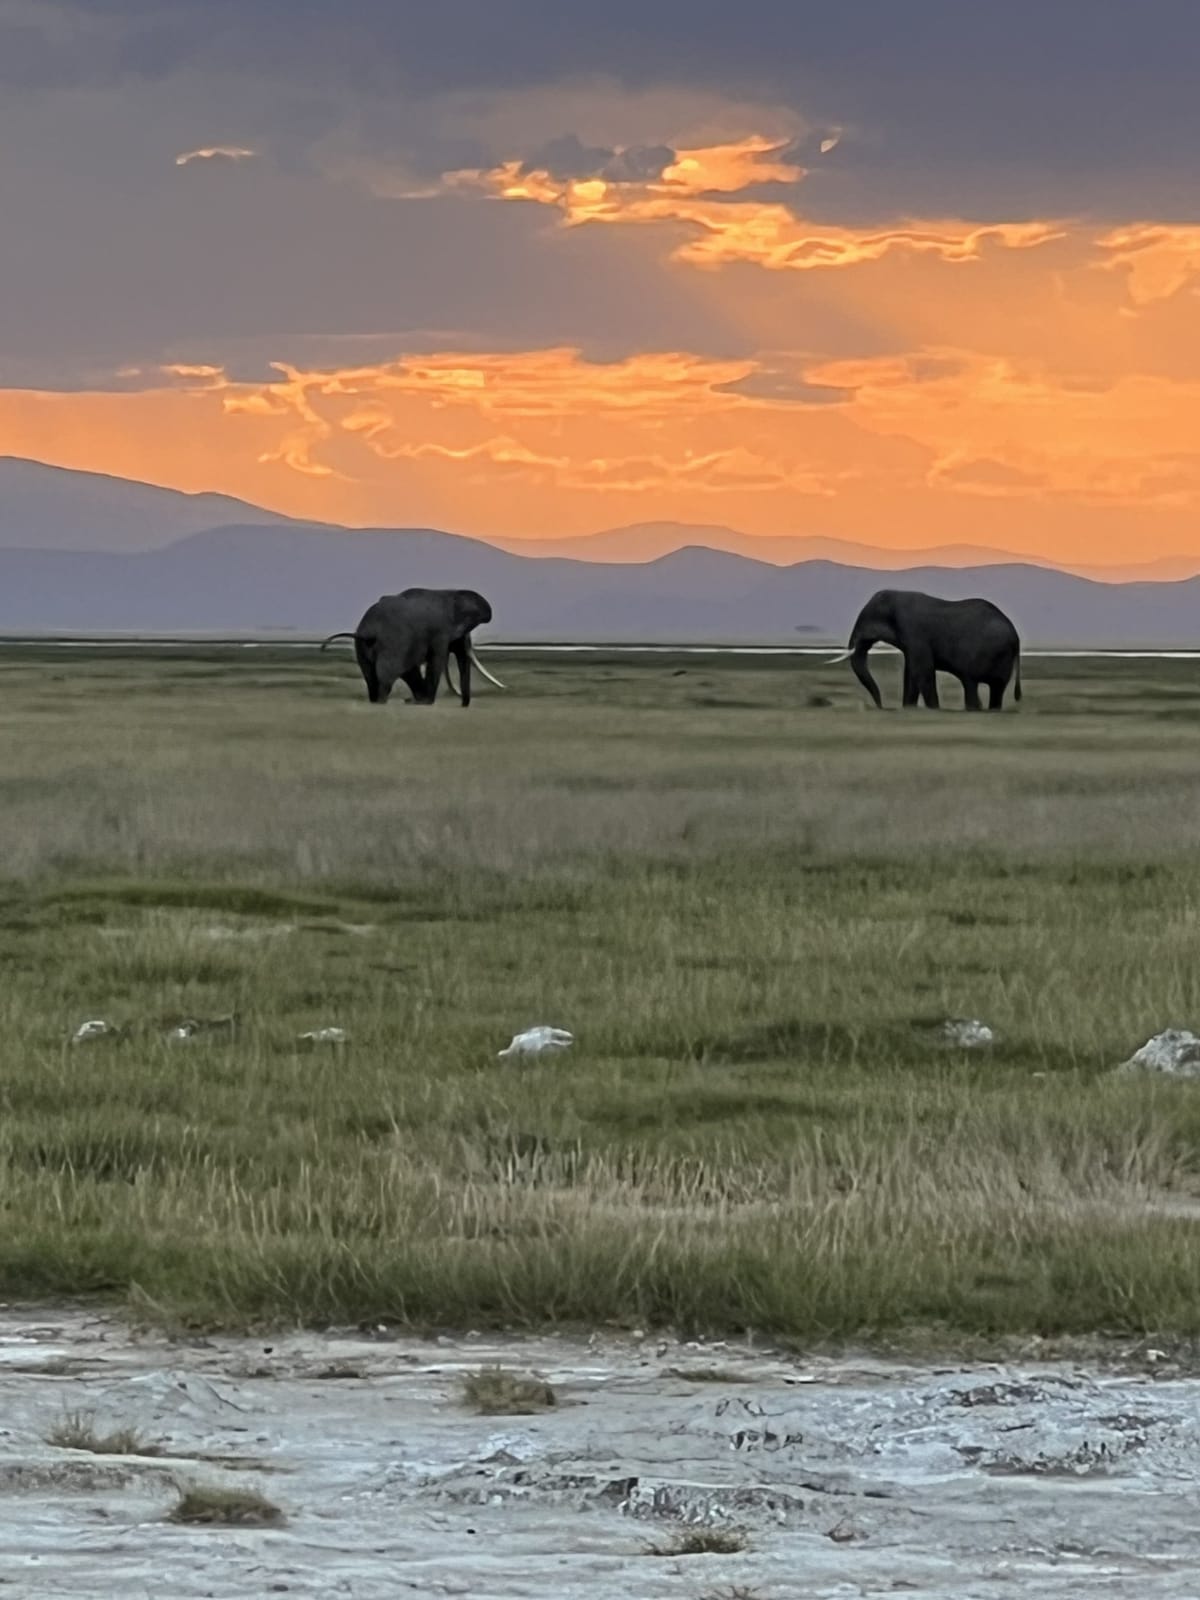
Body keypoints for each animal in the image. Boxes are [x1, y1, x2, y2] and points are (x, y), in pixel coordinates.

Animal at [321, 587, 505, 706]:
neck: (451, 594)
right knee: (388, 673)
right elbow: (436, 660)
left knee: (372, 674)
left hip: (363, 648)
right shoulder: (440, 632)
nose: (463, 704)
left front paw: (417, 700)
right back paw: (382, 701)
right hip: (393, 643)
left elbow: (413, 668)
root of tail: (368, 631)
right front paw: (426, 702)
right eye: (463, 636)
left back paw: (375, 700)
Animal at [833, 589, 1022, 711]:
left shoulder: (914, 631)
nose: (881, 707)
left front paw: (934, 709)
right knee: (995, 688)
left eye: (866, 622)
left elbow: (923, 670)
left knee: (970, 681)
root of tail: (1015, 635)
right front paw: (908, 708)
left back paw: (974, 709)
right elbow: (911, 672)